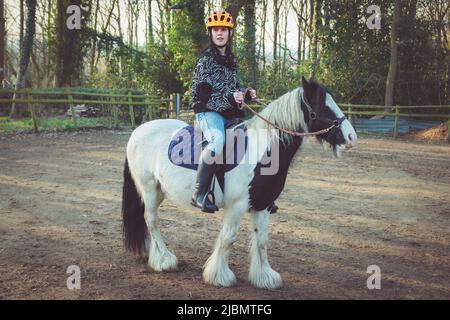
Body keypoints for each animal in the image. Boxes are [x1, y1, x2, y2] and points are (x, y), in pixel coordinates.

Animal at [121, 76, 356, 288]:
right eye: (323, 106)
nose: (352, 137)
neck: (262, 152)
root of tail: (139, 130)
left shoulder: (262, 205)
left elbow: (262, 240)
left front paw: (264, 277)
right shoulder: (237, 205)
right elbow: (228, 238)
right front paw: (219, 276)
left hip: (159, 191)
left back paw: (153, 255)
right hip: (149, 189)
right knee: (152, 220)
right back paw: (164, 260)